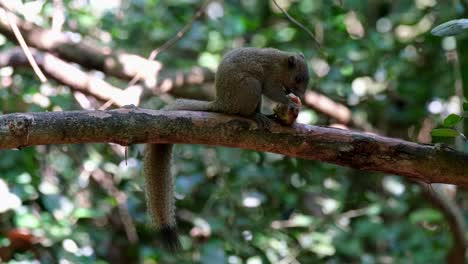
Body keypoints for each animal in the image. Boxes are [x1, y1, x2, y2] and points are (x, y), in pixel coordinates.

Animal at [144, 47, 308, 252]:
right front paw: (290, 102)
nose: (302, 96)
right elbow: (273, 91)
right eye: (298, 79)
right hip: (250, 86)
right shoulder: (271, 78)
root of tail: (221, 103)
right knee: (244, 111)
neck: (281, 63)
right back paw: (256, 116)